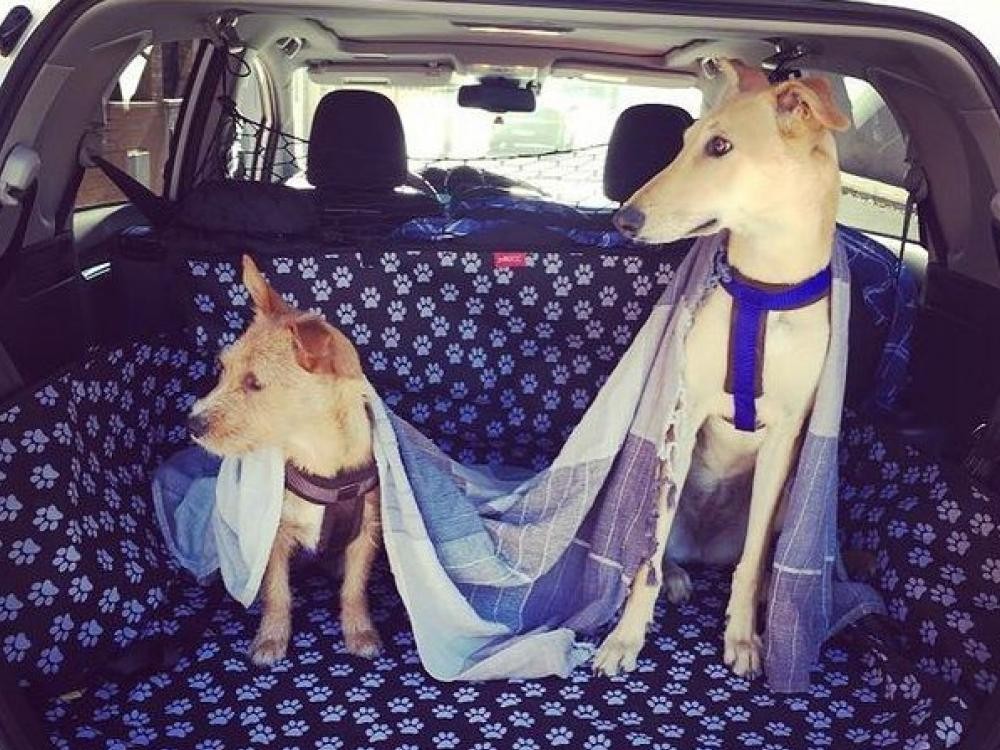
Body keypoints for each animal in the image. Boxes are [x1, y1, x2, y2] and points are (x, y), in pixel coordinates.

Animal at [187, 255, 383, 666]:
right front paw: (271, 638)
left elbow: (354, 590)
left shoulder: (365, 534)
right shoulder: (271, 538)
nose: (191, 423)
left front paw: (359, 631)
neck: (316, 455)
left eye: (254, 383)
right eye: (223, 369)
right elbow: (277, 592)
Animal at [594, 60, 850, 678]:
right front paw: (626, 637)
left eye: (720, 147)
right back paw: (677, 576)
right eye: (686, 140)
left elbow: (754, 562)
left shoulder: (785, 438)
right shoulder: (681, 421)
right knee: (658, 546)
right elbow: (647, 557)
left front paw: (744, 637)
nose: (622, 219)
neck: (765, 289)